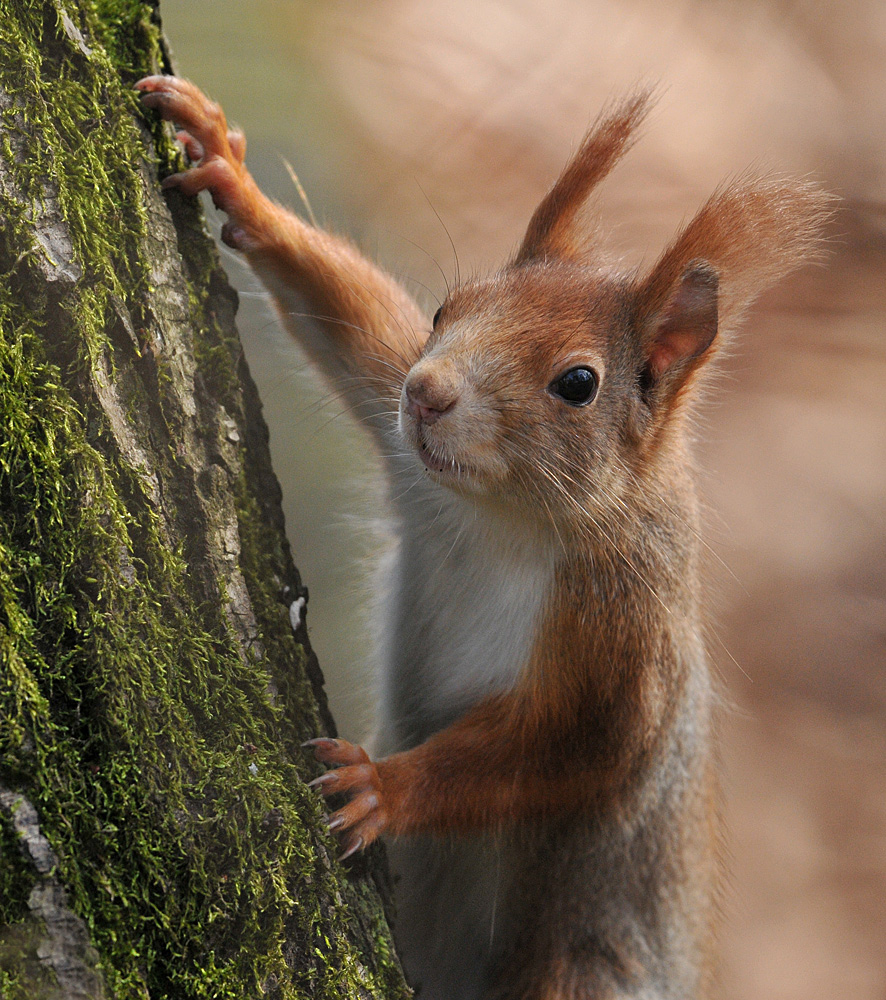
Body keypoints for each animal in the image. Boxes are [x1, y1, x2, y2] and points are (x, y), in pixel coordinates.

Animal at [137, 76, 832, 1000]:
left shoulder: (624, 637)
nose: (427, 393)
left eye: (578, 384)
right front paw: (230, 174)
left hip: (580, 966)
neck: (502, 515)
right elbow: (349, 318)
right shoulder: (408, 447)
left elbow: (564, 755)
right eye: (446, 310)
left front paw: (381, 787)